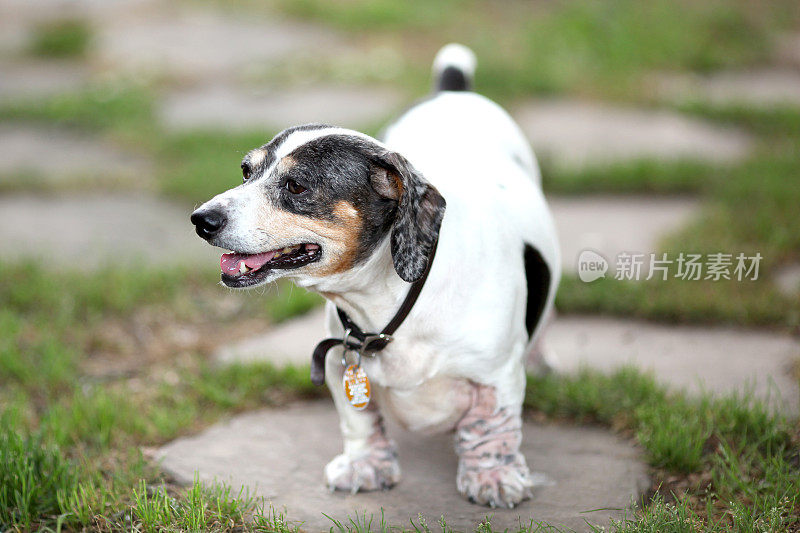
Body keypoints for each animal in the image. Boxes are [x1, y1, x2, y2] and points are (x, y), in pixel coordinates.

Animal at [191, 43, 560, 504]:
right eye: (246, 171)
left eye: (296, 186)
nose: (200, 219)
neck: (392, 302)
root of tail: (453, 91)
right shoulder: (339, 365)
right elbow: (360, 421)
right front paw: (365, 466)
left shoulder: (496, 377)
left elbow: (492, 430)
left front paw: (492, 477)